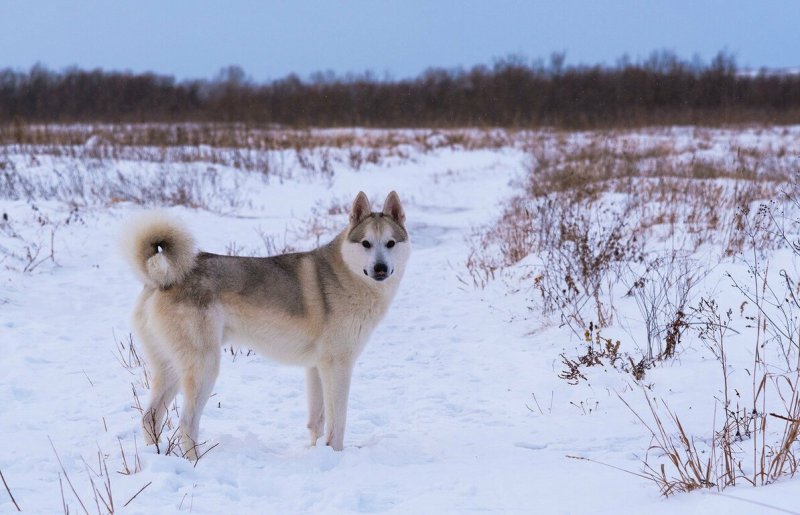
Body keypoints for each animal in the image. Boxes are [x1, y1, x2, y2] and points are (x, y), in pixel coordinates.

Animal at [125, 191, 412, 458]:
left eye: (390, 243)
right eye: (366, 243)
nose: (380, 268)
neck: (347, 276)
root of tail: (161, 280)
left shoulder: (316, 368)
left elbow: (317, 423)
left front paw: (317, 453)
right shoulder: (338, 366)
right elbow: (337, 424)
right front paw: (336, 455)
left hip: (172, 369)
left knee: (150, 418)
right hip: (204, 367)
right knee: (186, 424)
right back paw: (195, 462)